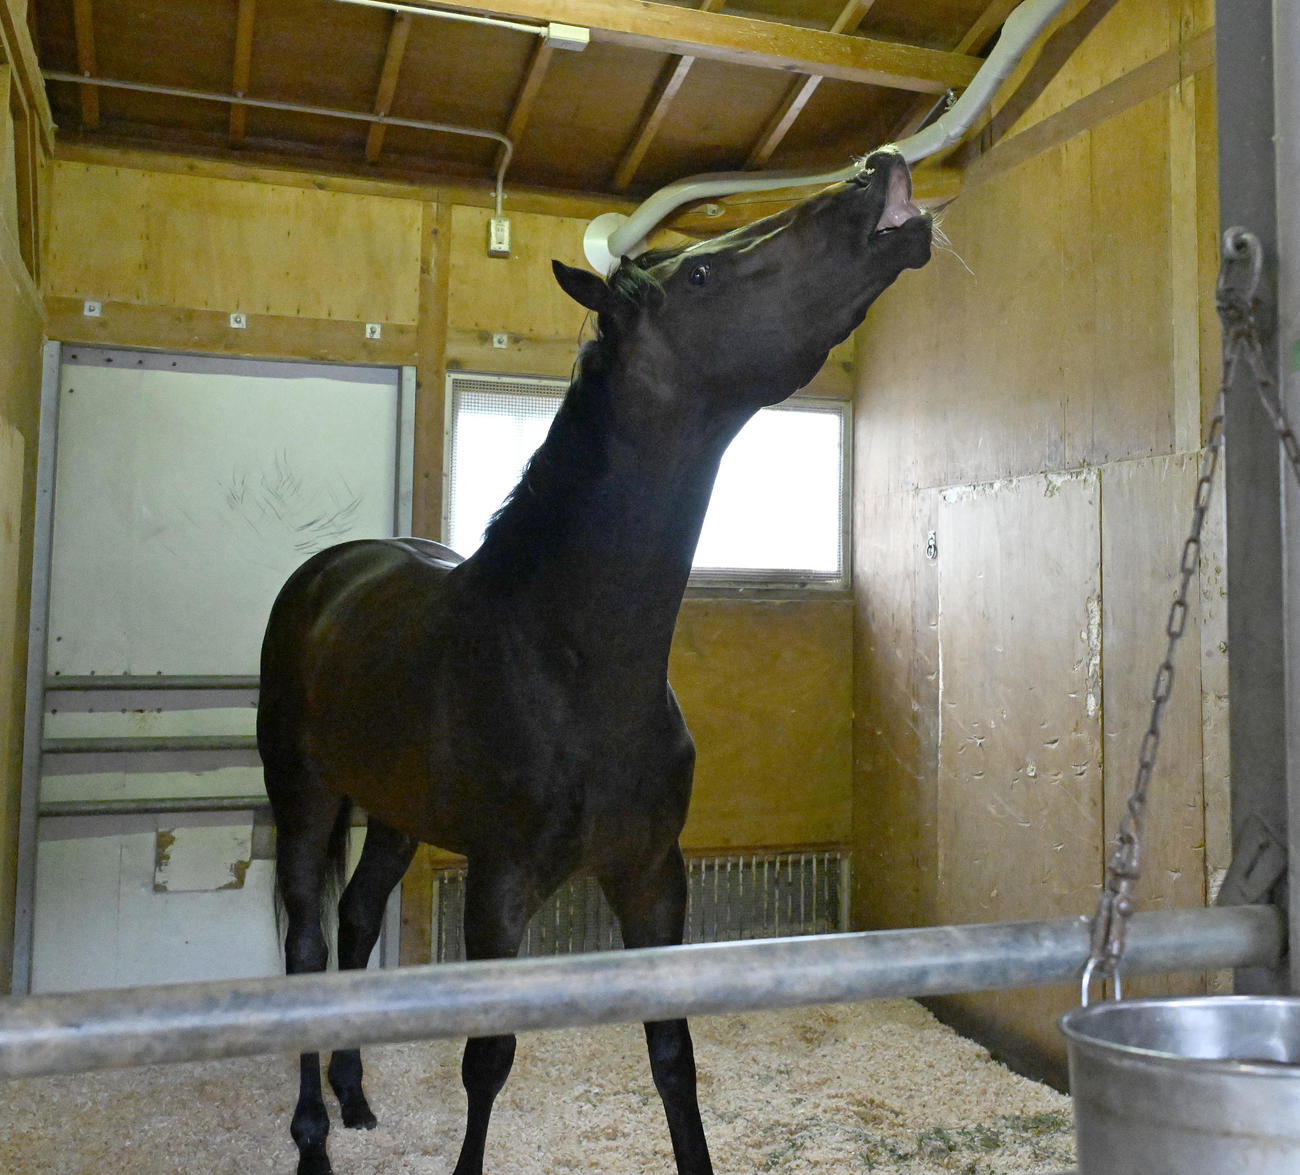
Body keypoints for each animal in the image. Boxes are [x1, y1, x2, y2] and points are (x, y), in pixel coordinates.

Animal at [257, 146, 931, 1175]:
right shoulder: (500, 889)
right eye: (700, 274)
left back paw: (356, 1094)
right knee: (303, 939)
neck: (570, 659)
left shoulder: (652, 875)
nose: (876, 172)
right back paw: (311, 1137)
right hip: (304, 796)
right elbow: (487, 1059)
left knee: (359, 917)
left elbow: (673, 1056)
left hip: (397, 813)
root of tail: (327, 571)